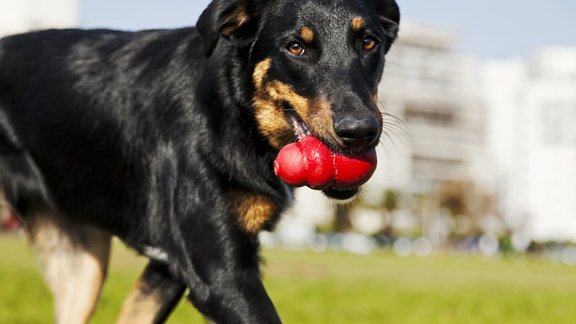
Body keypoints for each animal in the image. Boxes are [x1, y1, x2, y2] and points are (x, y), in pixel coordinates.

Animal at [0, 0, 398, 322]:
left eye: (369, 43)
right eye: (296, 47)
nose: (360, 131)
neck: (234, 108)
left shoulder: (167, 268)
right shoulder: (220, 276)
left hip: (84, 269)